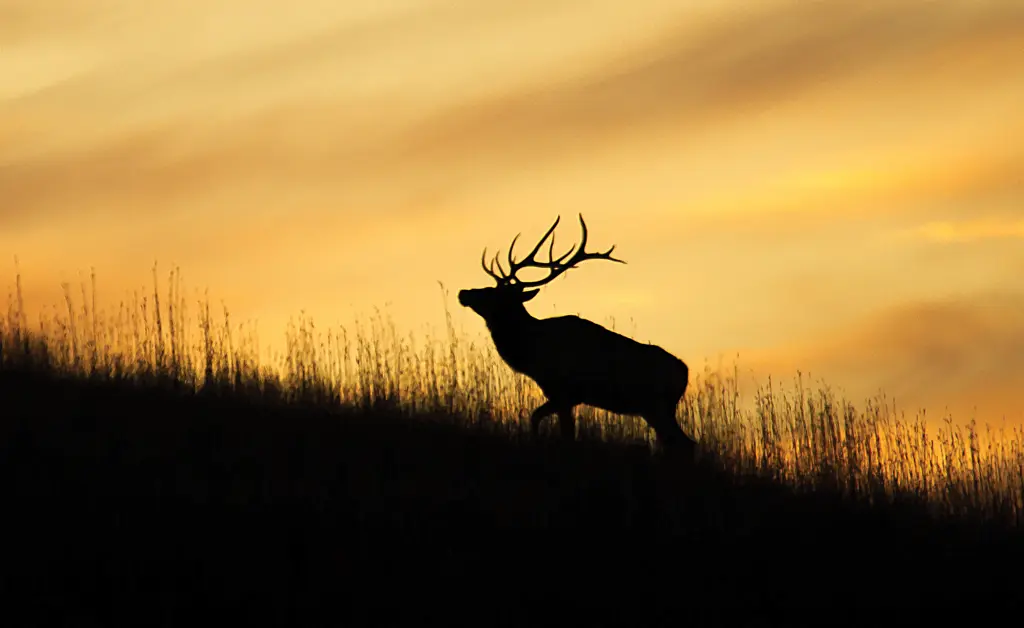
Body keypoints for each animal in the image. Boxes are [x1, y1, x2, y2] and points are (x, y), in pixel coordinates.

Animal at [458, 214, 697, 459]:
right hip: (653, 409)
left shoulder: (565, 392)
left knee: (685, 444)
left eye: (493, 293)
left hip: (656, 405)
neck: (532, 352)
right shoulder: (562, 396)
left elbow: (557, 430)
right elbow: (540, 420)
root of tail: (684, 373)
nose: (463, 293)